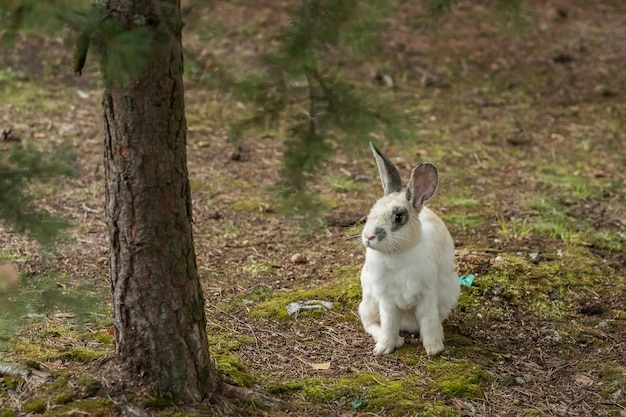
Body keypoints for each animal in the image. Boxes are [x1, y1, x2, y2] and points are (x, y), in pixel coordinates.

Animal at [356, 142, 458, 354]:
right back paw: (396, 340)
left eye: (398, 217)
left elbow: (428, 321)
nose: (368, 237)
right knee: (368, 321)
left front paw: (434, 349)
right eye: (372, 211)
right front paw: (384, 348)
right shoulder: (387, 300)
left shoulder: (427, 295)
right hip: (369, 300)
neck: (398, 254)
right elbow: (388, 324)